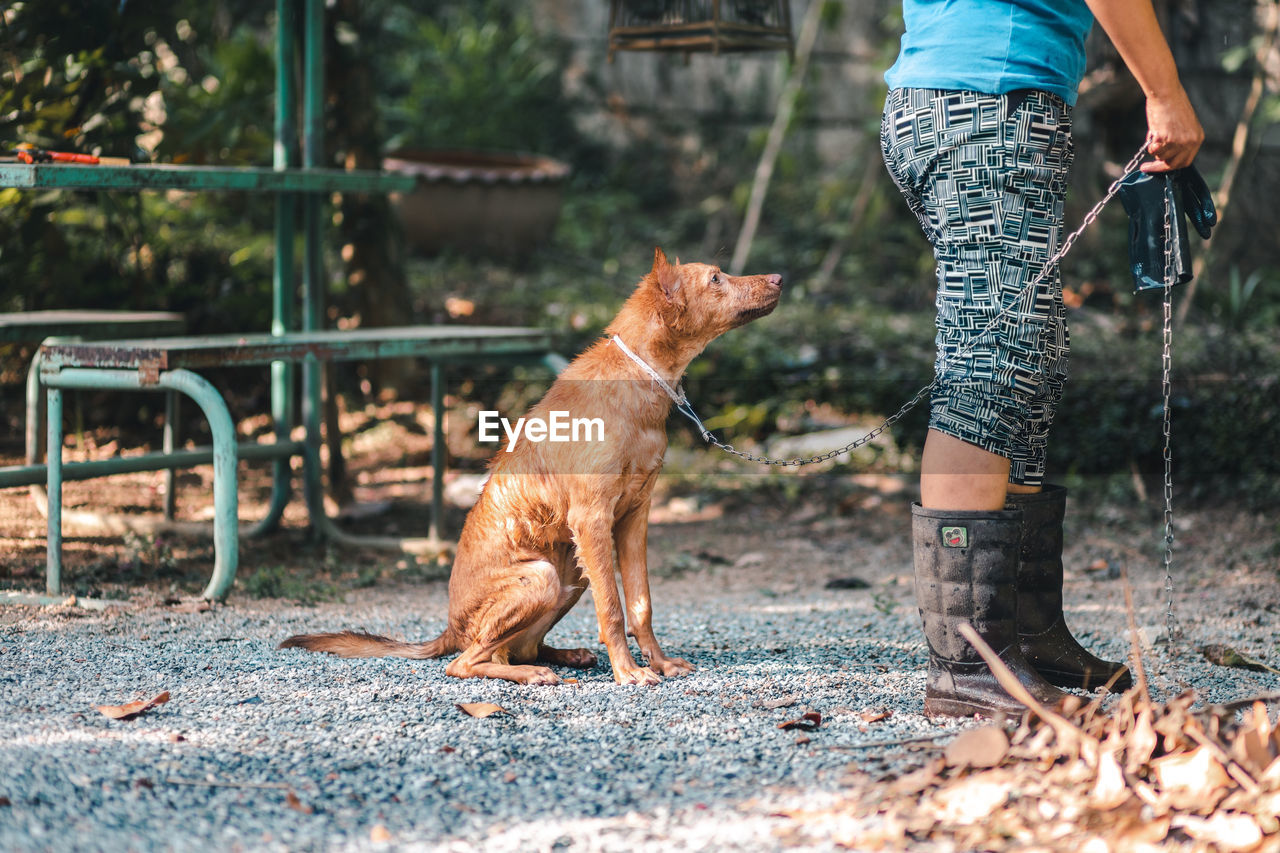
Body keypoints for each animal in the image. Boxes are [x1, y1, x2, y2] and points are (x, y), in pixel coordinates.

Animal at [282, 247, 778, 686]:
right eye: (716, 277)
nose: (778, 278)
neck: (638, 380)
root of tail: (448, 629)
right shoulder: (593, 519)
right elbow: (613, 609)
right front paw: (629, 672)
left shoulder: (634, 518)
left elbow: (640, 605)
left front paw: (659, 663)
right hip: (542, 575)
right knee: (466, 662)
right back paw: (531, 674)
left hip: (571, 573)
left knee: (517, 647)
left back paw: (564, 656)